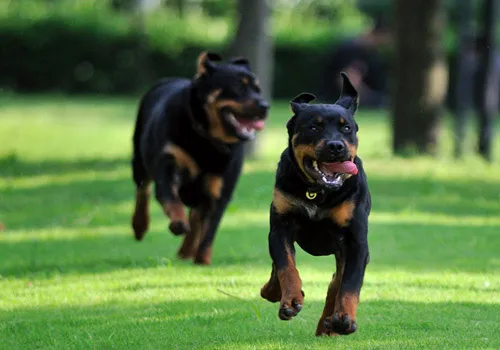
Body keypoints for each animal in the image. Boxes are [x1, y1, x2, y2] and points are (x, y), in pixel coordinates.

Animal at [131, 51, 268, 266]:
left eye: (258, 90)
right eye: (239, 87)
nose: (265, 106)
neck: (207, 139)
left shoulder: (220, 190)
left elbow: (210, 230)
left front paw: (202, 259)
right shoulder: (170, 164)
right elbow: (170, 198)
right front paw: (178, 222)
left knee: (196, 217)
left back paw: (186, 251)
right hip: (139, 158)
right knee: (143, 189)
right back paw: (140, 225)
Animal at [262, 73, 372, 336]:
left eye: (346, 128)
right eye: (313, 127)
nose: (335, 146)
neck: (317, 192)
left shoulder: (356, 242)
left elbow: (350, 284)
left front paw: (345, 318)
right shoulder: (281, 227)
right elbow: (286, 266)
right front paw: (290, 300)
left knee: (336, 282)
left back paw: (329, 323)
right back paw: (272, 291)